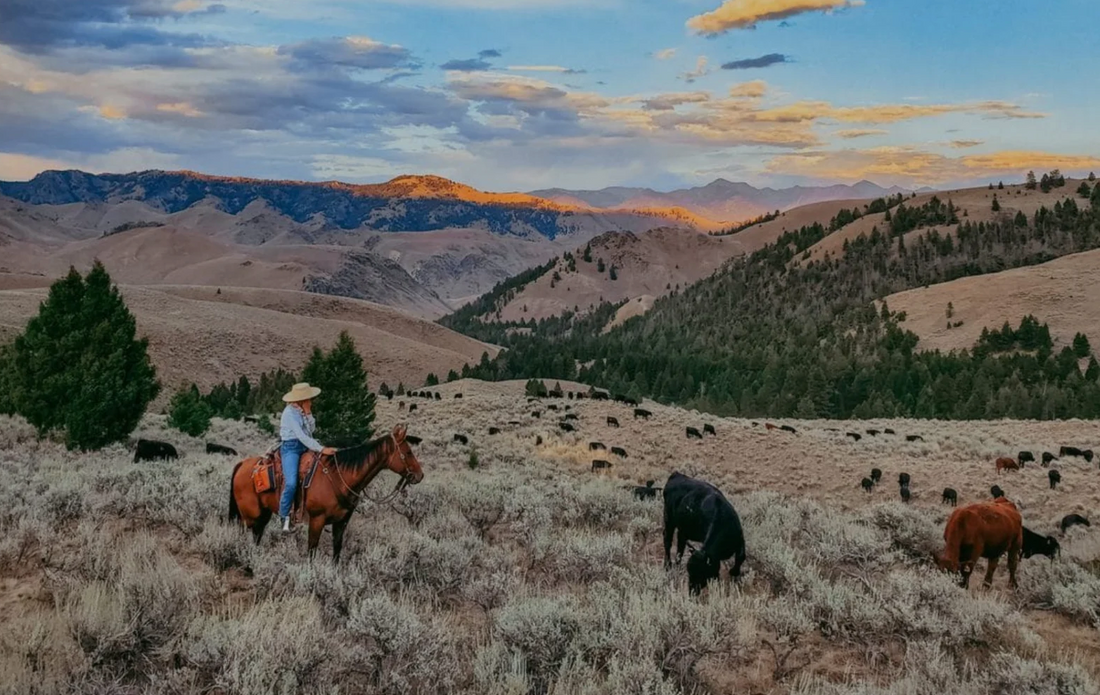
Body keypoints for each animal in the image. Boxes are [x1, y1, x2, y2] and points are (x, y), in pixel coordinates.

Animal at [227, 420, 420, 563]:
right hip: (250, 515)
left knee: (256, 536)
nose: (420, 475)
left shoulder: (341, 522)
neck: (338, 476)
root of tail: (242, 464)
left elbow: (337, 549)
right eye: (408, 452)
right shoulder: (316, 520)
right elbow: (312, 551)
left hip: (263, 514)